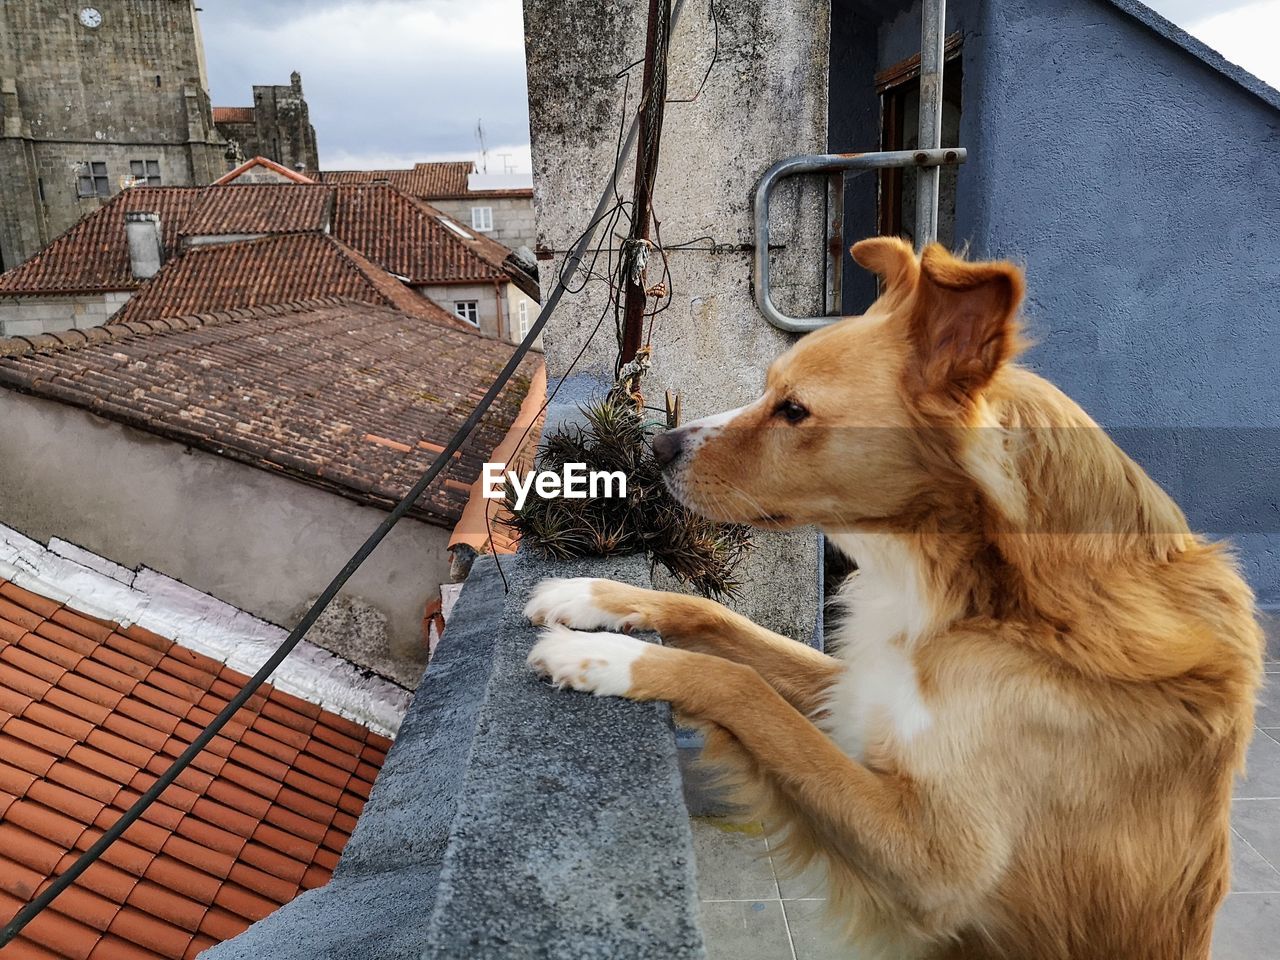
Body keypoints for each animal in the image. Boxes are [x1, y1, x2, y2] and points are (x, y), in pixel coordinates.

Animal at [524, 239, 1264, 960]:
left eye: (795, 409)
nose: (657, 446)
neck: (991, 600)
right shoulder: (858, 688)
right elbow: (719, 619)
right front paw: (590, 595)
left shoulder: (934, 861)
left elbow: (742, 686)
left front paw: (600, 659)